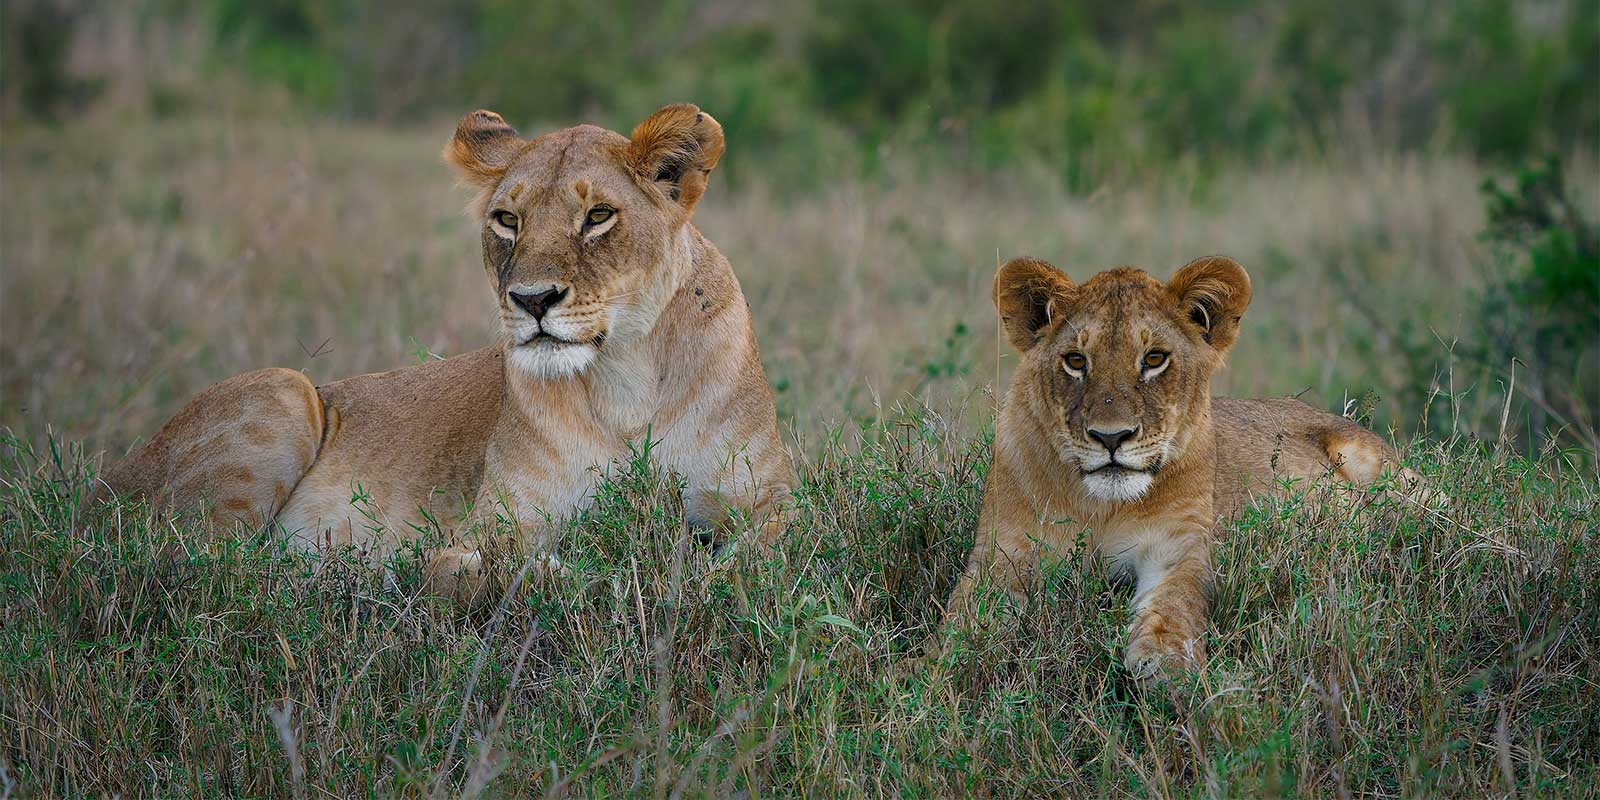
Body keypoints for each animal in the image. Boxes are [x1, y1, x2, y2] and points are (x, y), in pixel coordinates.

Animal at [97, 104, 794, 600]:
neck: (626, 374)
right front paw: (607, 571)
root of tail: (102, 482)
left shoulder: (770, 498)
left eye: (599, 215)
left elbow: (765, 553)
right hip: (284, 390)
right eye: (507, 220)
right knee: (200, 564)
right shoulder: (495, 526)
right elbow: (489, 571)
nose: (532, 300)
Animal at [946, 255, 1420, 678]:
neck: (1102, 507)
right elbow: (962, 618)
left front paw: (1170, 669)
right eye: (1076, 360)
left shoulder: (1180, 551)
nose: (1111, 437)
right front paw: (939, 667)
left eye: (1154, 359)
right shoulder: (1002, 555)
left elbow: (1174, 609)